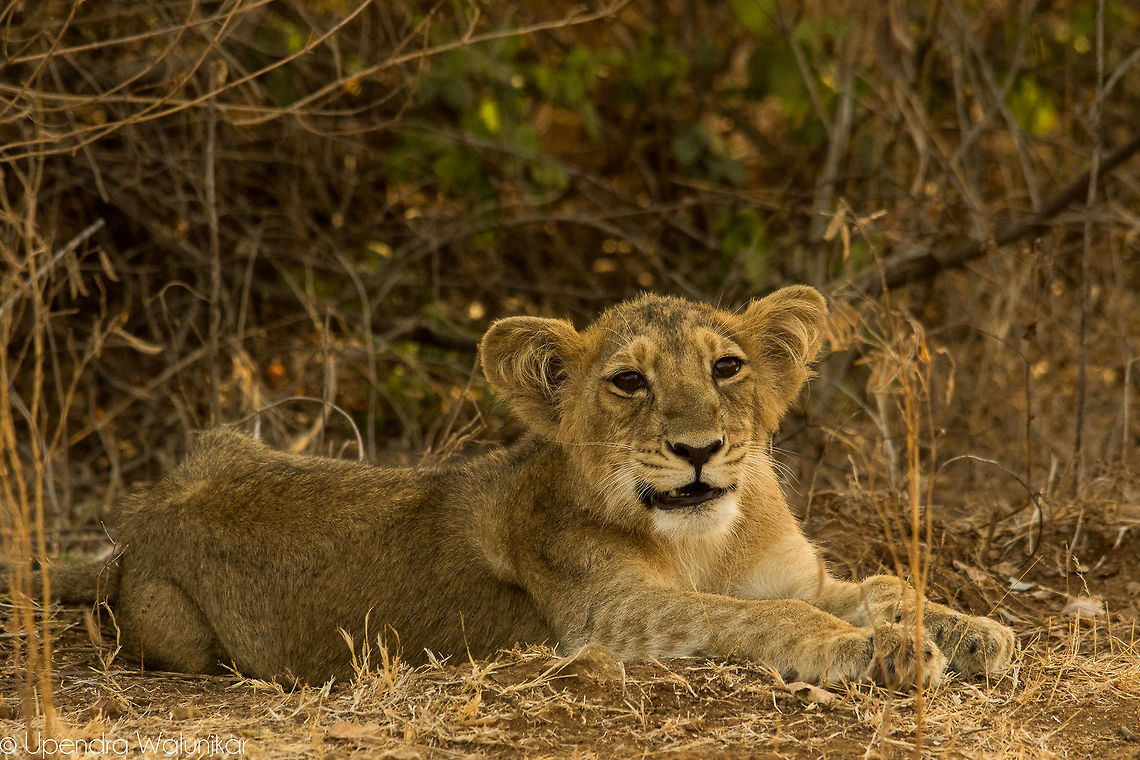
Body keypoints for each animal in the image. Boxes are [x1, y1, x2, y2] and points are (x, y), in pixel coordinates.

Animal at [35, 286, 1013, 685]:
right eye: (629, 382)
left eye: (727, 367)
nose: (699, 449)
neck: (708, 539)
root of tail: (144, 514)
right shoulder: (608, 619)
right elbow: (759, 621)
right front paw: (884, 655)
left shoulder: (804, 577)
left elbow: (885, 586)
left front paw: (976, 632)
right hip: (178, 631)